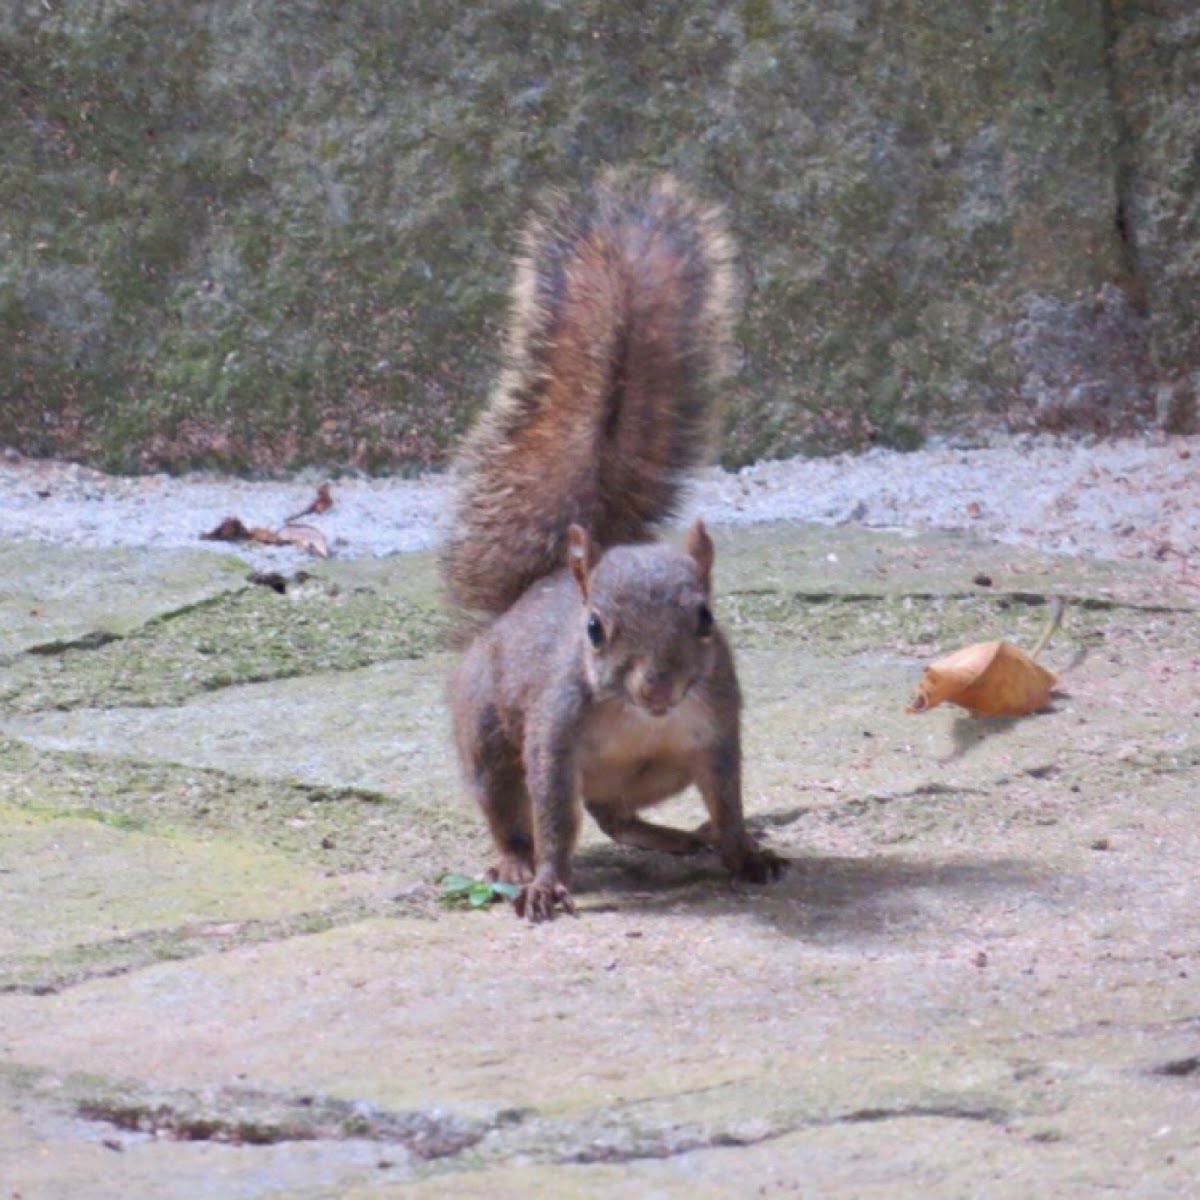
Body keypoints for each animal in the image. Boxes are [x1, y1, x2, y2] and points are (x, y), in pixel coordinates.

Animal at [444, 171, 787, 916]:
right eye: (594, 629)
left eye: (706, 618)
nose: (659, 689)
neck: (640, 717)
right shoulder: (552, 737)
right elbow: (552, 818)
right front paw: (546, 882)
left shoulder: (717, 731)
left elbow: (730, 802)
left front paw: (745, 852)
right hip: (487, 734)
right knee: (514, 810)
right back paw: (515, 862)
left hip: (656, 775)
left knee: (617, 817)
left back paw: (679, 837)